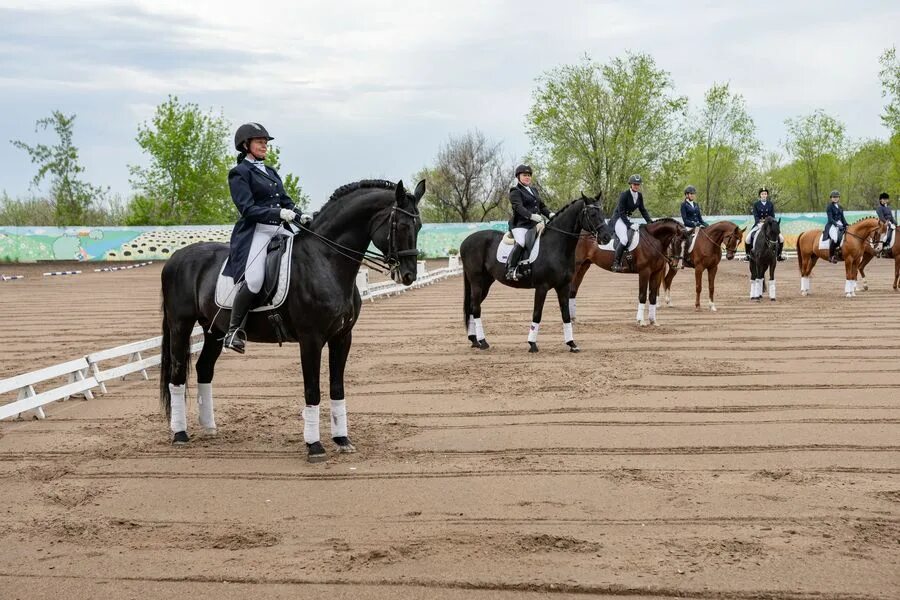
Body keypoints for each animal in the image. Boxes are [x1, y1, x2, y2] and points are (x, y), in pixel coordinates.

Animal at [159, 180, 426, 462]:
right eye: (402, 225)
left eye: (419, 225)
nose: (408, 275)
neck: (326, 260)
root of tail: (176, 257)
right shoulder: (311, 339)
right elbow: (312, 390)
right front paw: (315, 446)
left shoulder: (342, 337)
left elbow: (337, 388)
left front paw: (342, 440)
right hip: (180, 326)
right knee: (177, 374)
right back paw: (180, 434)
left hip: (214, 331)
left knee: (204, 369)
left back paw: (210, 428)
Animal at [460, 192, 608, 352]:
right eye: (592, 214)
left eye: (602, 212)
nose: (607, 237)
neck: (556, 246)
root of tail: (466, 240)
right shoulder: (541, 287)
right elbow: (537, 314)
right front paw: (532, 344)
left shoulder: (563, 286)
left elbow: (566, 314)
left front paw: (572, 344)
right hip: (477, 282)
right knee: (476, 309)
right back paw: (483, 342)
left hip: (486, 283)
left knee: (472, 308)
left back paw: (474, 340)